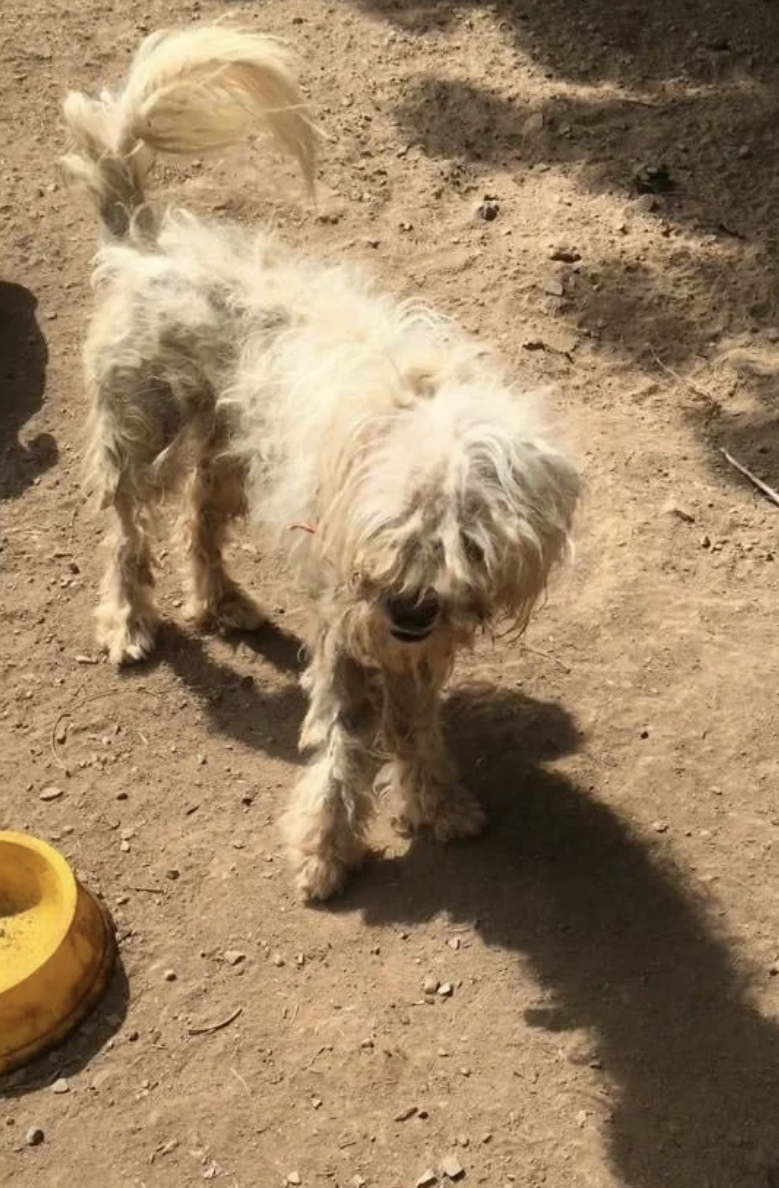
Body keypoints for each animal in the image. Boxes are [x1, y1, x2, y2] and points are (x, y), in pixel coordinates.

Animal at [62, 25, 577, 898]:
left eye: (468, 544)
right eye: (392, 526)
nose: (406, 610)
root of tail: (145, 243)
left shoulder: (411, 648)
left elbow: (415, 725)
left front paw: (434, 801)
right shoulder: (346, 631)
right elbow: (340, 747)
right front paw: (326, 851)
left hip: (234, 454)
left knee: (199, 519)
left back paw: (221, 601)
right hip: (141, 437)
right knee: (128, 536)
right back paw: (129, 623)